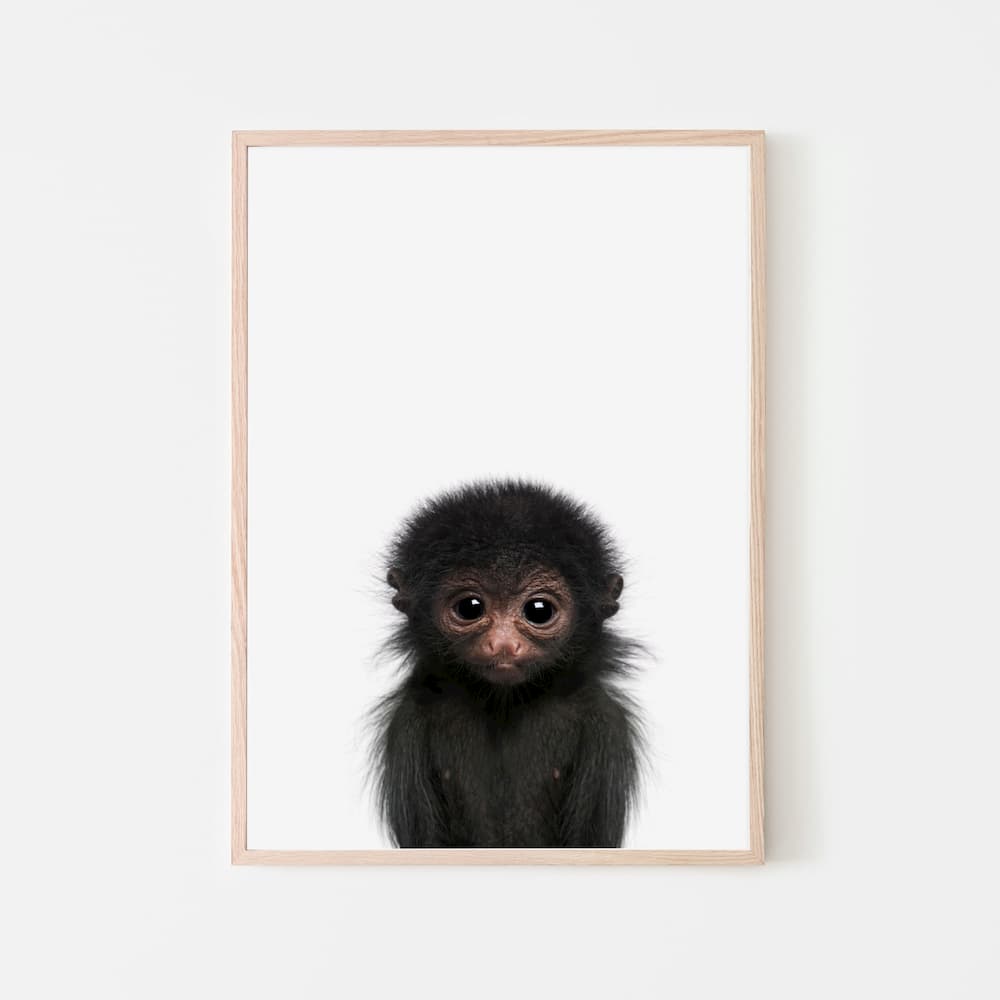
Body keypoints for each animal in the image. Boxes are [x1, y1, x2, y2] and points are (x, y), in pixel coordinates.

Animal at [369, 479, 643, 848]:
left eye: (539, 610)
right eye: (470, 607)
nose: (502, 644)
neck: (504, 705)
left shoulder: (604, 721)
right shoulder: (409, 719)